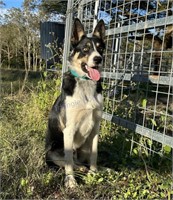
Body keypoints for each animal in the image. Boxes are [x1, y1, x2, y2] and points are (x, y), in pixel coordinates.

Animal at [45, 18, 105, 188]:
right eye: (85, 49)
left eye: (100, 49)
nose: (98, 59)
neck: (86, 84)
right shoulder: (69, 130)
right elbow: (68, 162)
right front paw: (70, 181)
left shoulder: (95, 128)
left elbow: (95, 155)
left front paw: (94, 173)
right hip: (52, 152)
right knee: (70, 161)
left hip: (84, 147)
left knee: (81, 160)